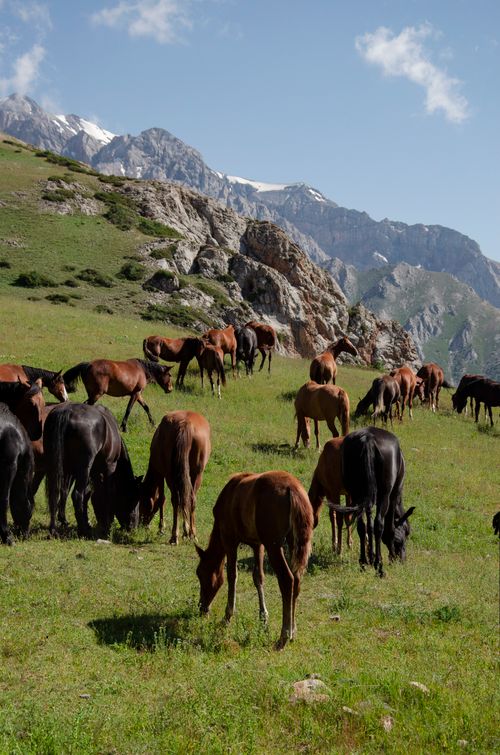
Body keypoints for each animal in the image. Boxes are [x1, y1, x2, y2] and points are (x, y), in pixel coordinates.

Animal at [44, 403, 141, 538]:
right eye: (134, 499)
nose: (133, 527)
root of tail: (67, 411)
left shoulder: (92, 473)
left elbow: (90, 494)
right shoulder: (109, 467)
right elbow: (106, 493)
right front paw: (107, 524)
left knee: (54, 493)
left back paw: (53, 529)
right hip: (84, 468)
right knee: (77, 495)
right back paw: (83, 531)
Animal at [139, 411, 211, 543]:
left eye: (142, 503)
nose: (142, 524)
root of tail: (186, 424)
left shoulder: (161, 474)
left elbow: (162, 499)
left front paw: (161, 528)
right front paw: (186, 531)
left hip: (170, 475)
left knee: (176, 500)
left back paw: (174, 536)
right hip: (197, 474)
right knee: (190, 499)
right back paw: (192, 534)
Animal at [196, 470, 313, 649]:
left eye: (200, 574)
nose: (202, 607)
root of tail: (292, 489)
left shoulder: (230, 539)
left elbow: (232, 575)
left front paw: (227, 616)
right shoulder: (258, 545)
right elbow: (258, 577)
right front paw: (263, 617)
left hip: (274, 546)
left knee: (287, 580)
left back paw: (284, 636)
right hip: (293, 542)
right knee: (297, 579)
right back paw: (293, 631)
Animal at [330, 427, 415, 577]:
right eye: (406, 532)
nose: (402, 559)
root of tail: (367, 438)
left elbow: (368, 525)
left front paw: (371, 555)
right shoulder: (393, 496)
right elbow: (388, 528)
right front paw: (389, 557)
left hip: (356, 495)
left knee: (361, 525)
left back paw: (363, 562)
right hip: (384, 496)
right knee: (379, 524)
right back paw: (379, 566)